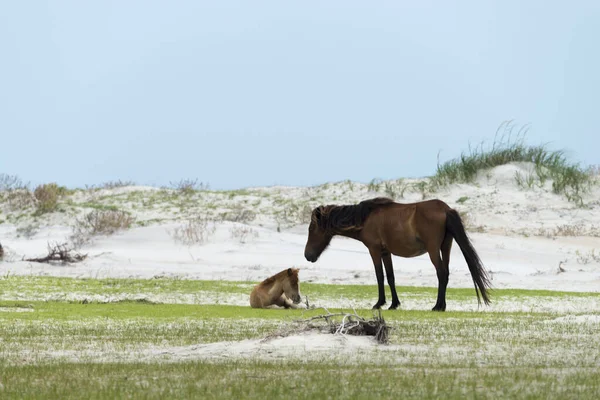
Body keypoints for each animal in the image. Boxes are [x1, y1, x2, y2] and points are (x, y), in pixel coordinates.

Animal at [302, 198, 490, 310]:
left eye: (311, 229)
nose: (307, 256)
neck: (365, 219)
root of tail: (445, 209)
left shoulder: (374, 250)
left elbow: (379, 276)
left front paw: (379, 303)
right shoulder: (386, 253)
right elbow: (390, 277)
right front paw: (393, 304)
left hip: (433, 250)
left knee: (441, 273)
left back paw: (438, 306)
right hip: (446, 247)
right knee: (446, 273)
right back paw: (441, 305)